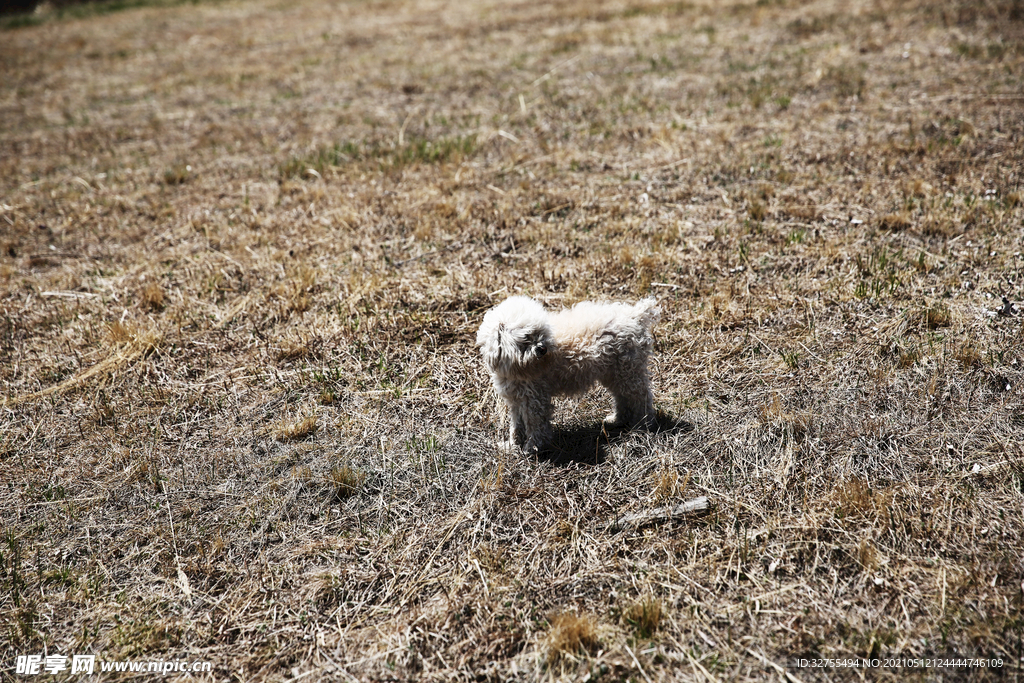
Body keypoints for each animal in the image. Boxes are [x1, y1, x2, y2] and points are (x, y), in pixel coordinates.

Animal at [475, 294, 659, 450]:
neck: (518, 369)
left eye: (540, 333)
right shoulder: (516, 399)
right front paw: (512, 445)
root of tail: (636, 315)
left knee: (641, 397)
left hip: (629, 372)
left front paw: (533, 447)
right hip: (616, 374)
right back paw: (617, 420)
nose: (542, 349)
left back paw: (643, 425)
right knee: (622, 397)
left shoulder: (535, 400)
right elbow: (516, 425)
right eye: (526, 338)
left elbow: (535, 424)